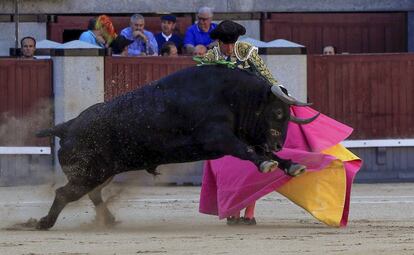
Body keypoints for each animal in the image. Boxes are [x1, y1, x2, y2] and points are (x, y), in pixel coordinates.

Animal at [34, 64, 320, 230]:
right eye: (278, 113)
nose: (279, 142)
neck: (233, 96)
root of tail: (67, 126)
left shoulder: (240, 137)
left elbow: (262, 152)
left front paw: (292, 165)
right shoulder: (218, 138)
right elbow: (250, 152)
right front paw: (268, 164)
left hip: (103, 172)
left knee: (92, 194)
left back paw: (109, 220)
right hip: (89, 172)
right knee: (64, 193)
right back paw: (42, 223)